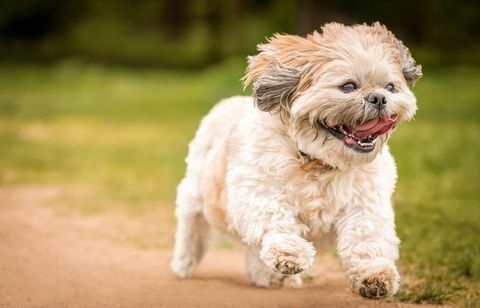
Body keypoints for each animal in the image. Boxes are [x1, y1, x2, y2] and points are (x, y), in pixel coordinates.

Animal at [171, 22, 422, 300]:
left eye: (390, 87)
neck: (318, 162)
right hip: (195, 193)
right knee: (192, 227)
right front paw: (289, 254)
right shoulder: (258, 193)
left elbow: (366, 238)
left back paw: (268, 276)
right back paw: (185, 262)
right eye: (348, 86)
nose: (379, 98)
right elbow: (276, 221)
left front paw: (375, 275)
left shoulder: (365, 206)